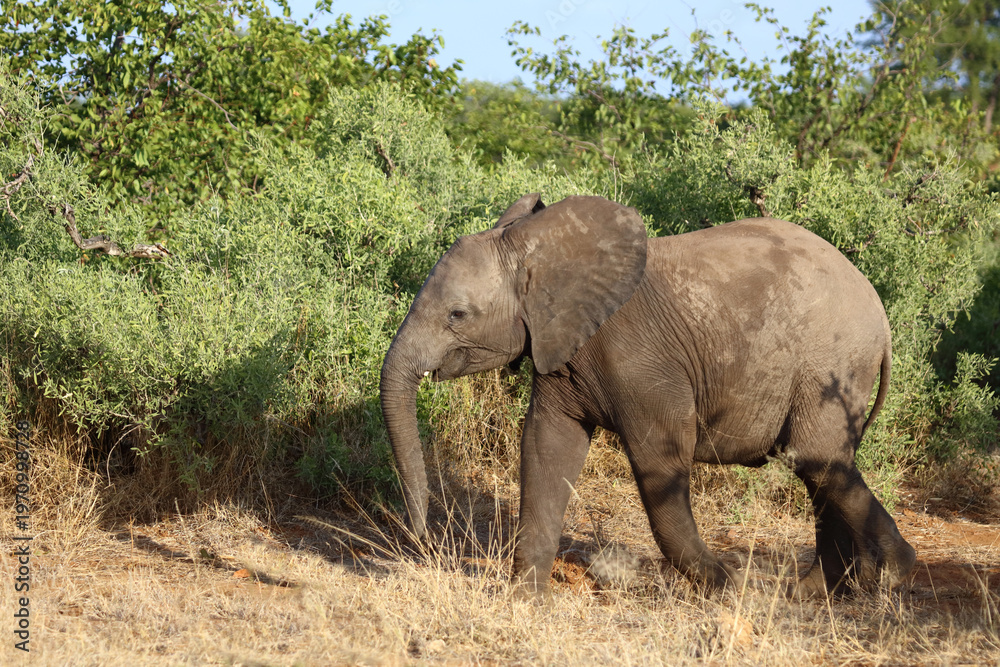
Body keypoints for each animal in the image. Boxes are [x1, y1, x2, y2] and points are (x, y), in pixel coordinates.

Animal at [379, 193, 916, 597]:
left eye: (457, 315)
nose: (422, 538)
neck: (543, 249)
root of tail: (882, 315)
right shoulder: (561, 347)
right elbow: (546, 447)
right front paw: (525, 600)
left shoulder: (640, 361)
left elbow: (660, 458)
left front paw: (732, 590)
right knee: (820, 469)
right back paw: (816, 592)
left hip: (832, 363)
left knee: (816, 459)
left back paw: (893, 577)